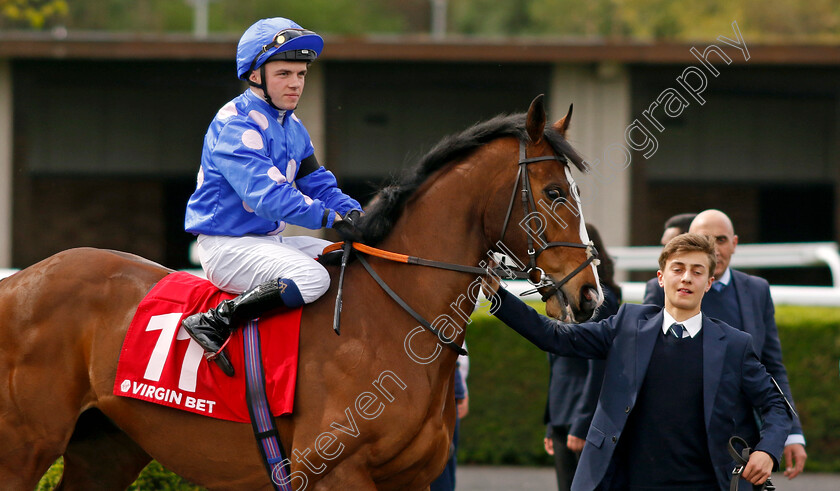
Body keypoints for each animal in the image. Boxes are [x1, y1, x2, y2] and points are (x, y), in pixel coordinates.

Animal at [0, 94, 604, 490]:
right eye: (555, 192)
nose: (590, 296)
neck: (386, 322)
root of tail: (19, 282)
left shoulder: (410, 480)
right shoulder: (336, 471)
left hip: (105, 449)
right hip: (24, 447)